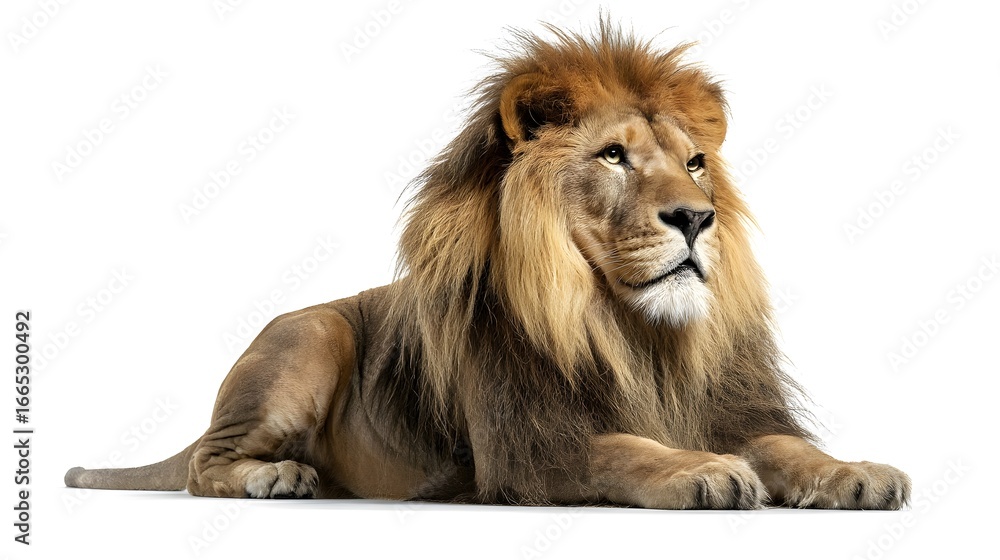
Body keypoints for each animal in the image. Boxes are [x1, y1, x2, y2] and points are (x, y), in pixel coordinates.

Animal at [65, 21, 910, 509]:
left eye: (696, 163)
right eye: (613, 156)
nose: (698, 218)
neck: (630, 330)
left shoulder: (735, 407)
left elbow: (787, 446)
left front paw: (856, 471)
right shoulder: (527, 448)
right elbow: (622, 449)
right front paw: (699, 469)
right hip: (310, 337)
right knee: (204, 464)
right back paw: (274, 477)